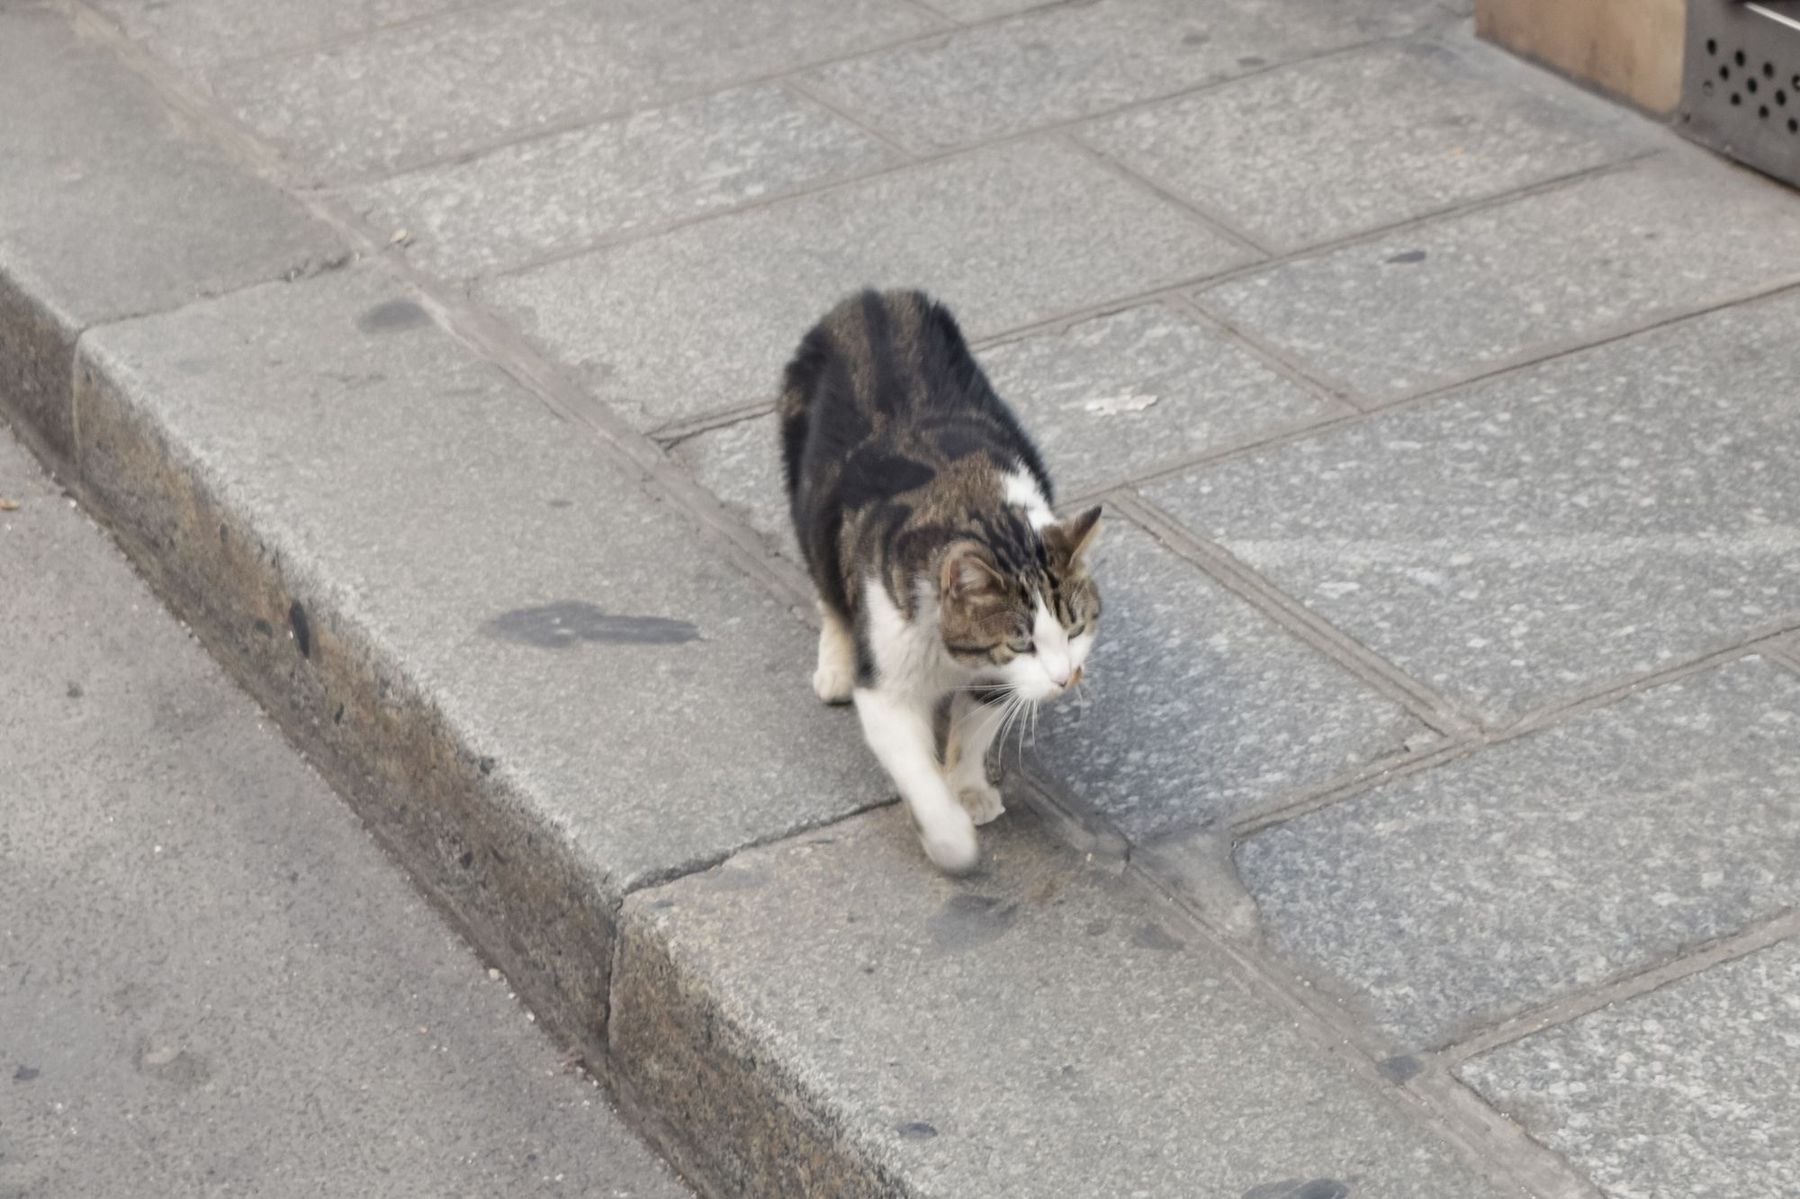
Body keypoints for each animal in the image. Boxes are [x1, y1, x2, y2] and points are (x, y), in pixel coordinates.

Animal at [784, 286, 1101, 874]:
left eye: (1075, 630)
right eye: (1022, 644)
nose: (1066, 679)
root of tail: (873, 299)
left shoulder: (997, 680)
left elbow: (974, 729)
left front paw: (968, 787)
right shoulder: (887, 679)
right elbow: (915, 768)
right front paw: (951, 836)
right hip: (808, 494)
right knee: (827, 587)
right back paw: (835, 663)